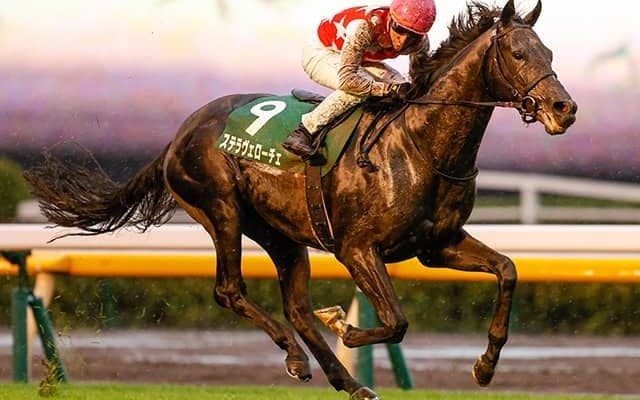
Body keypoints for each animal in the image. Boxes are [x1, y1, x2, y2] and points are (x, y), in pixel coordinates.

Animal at [25, 1, 576, 399]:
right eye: (519, 55)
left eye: (550, 53)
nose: (563, 108)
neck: (419, 143)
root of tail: (179, 135)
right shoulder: (358, 248)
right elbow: (395, 321)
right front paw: (346, 326)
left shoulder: (437, 245)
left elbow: (507, 270)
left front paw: (485, 366)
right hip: (221, 209)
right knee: (231, 291)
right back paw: (296, 357)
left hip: (281, 234)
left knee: (296, 307)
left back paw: (348, 382)